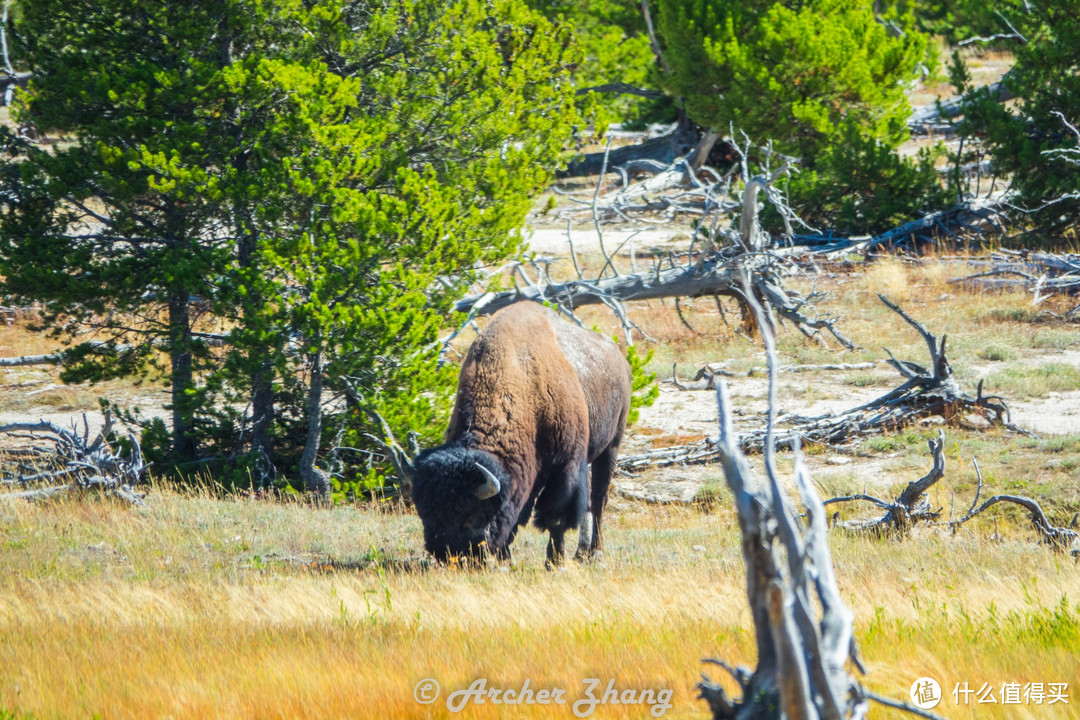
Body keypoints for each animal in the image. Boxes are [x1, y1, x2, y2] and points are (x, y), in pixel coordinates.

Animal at [410, 302, 630, 565]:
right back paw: (581, 553)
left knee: (598, 499)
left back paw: (595, 552)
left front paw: (554, 561)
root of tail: (620, 359)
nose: (445, 552)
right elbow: (521, 512)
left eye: (470, 514)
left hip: (611, 446)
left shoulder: (565, 467)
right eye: (424, 512)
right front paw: (507, 556)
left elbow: (555, 516)